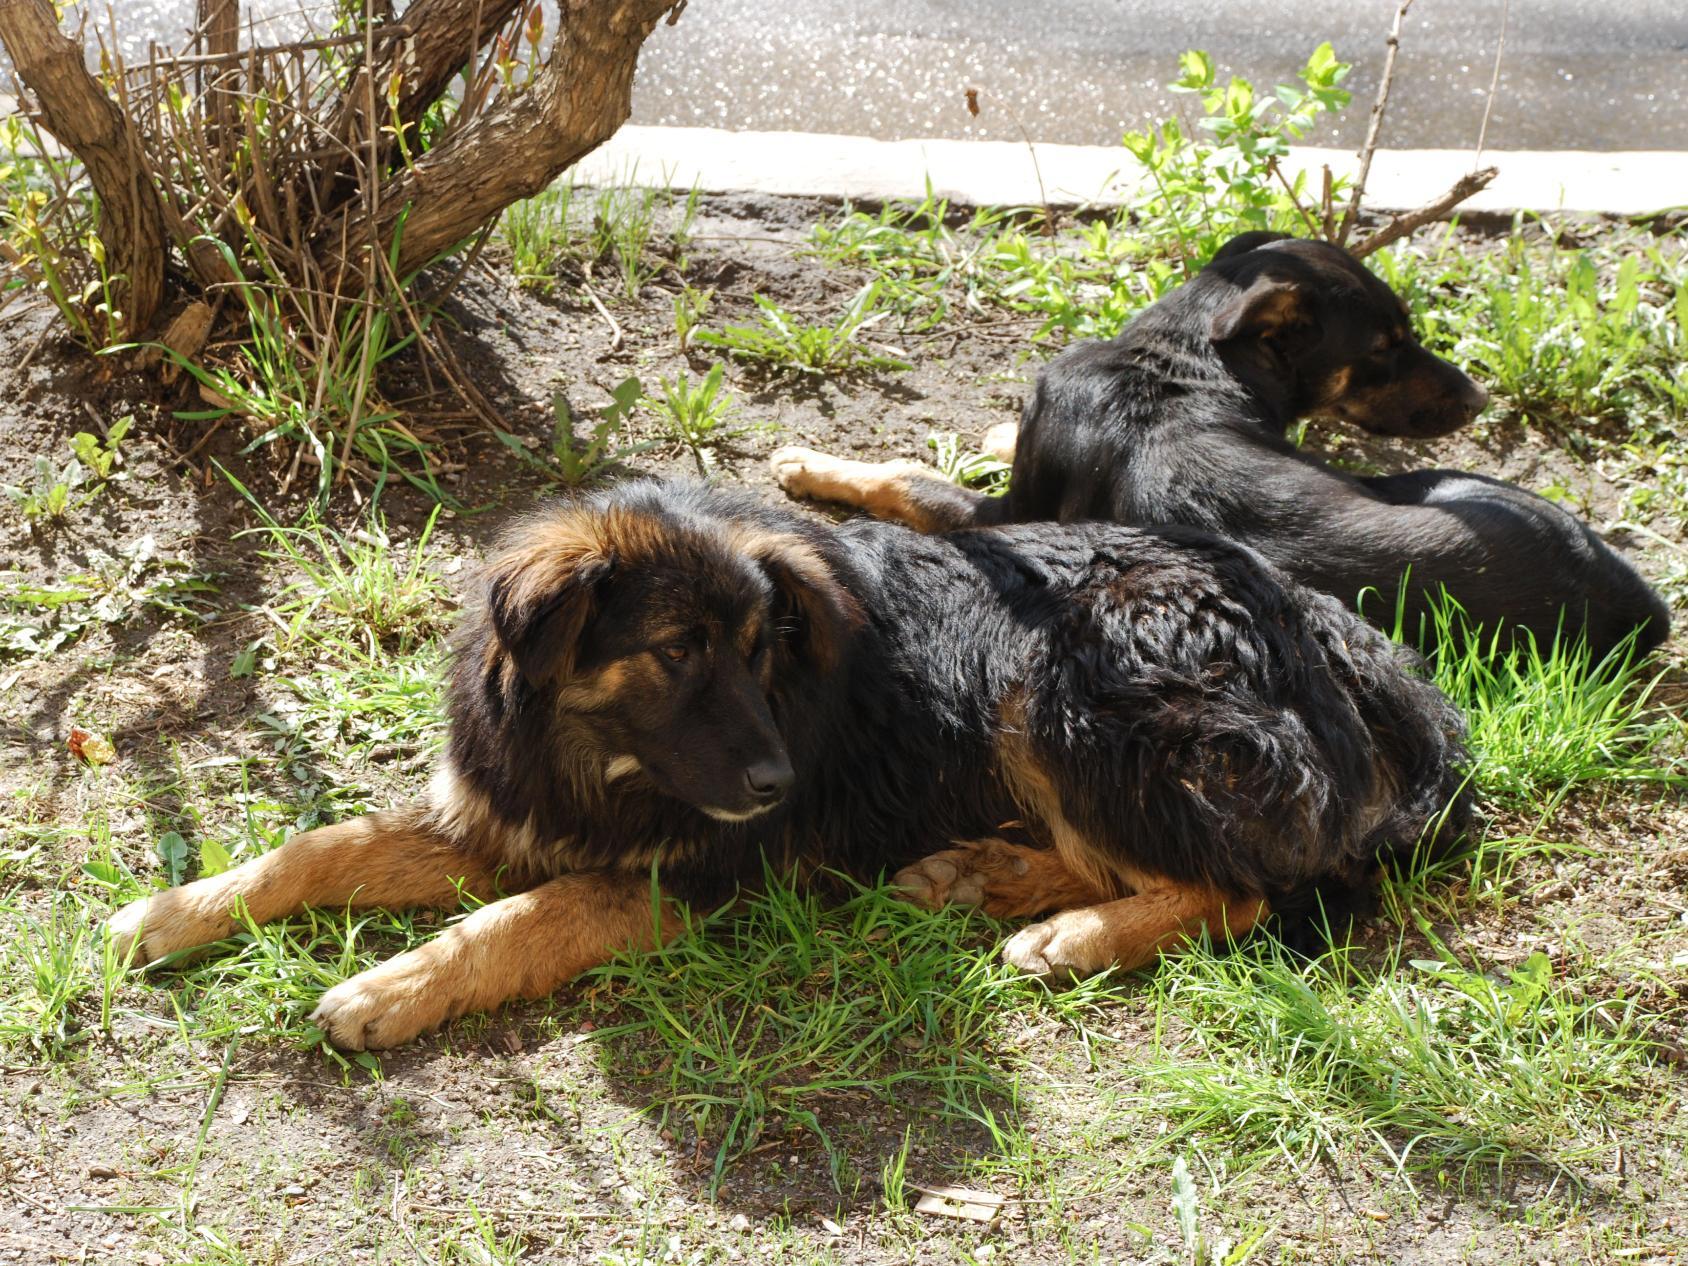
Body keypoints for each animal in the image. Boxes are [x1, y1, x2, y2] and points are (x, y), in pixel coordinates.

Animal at [105, 482, 1465, 1053]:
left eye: (766, 651)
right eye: (675, 652)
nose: (774, 790)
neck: (595, 759)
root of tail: (1310, 618)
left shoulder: (675, 880)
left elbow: (515, 922)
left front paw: (388, 989)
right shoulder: (502, 818)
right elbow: (315, 845)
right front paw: (173, 912)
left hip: (1059, 678)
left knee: (1243, 890)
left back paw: (1065, 936)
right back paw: (977, 877)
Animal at [773, 234, 1667, 665]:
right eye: (1385, 347)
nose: (1480, 399)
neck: (1179, 358)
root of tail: (1641, 609)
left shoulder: (1010, 516)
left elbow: (905, 477)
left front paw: (810, 464)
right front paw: (991, 430)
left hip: (1431, 479)